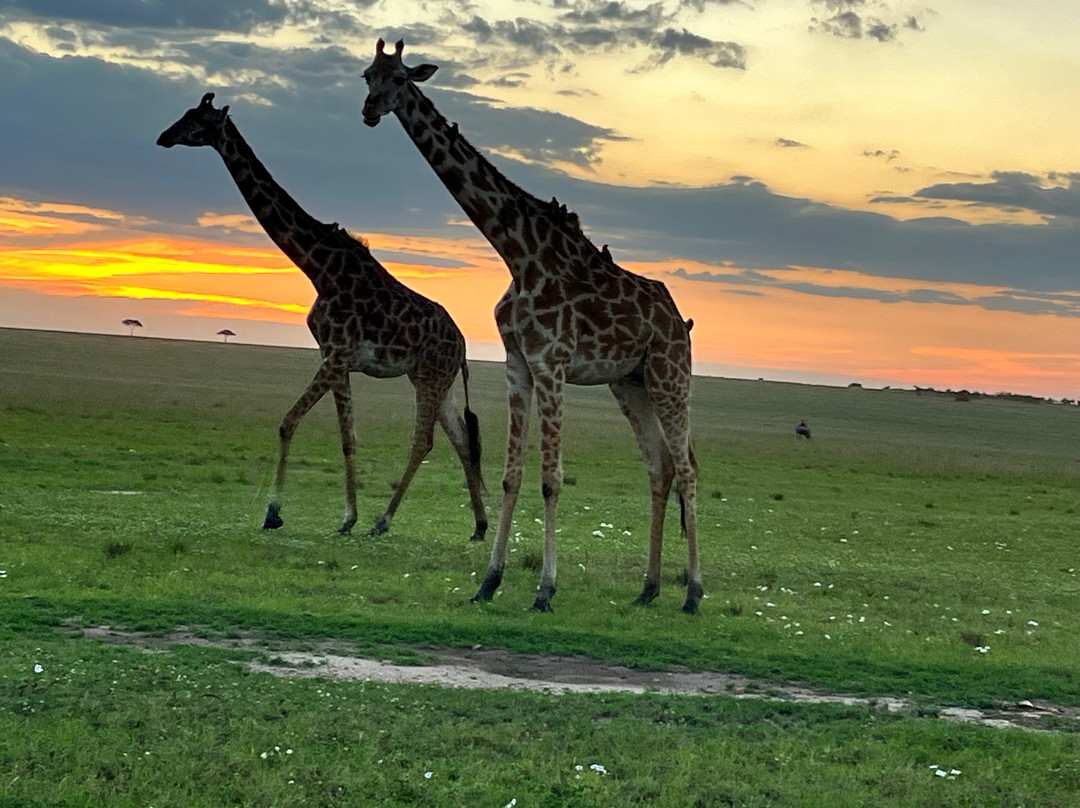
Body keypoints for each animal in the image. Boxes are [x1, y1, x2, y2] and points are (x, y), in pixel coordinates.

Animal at [157, 92, 487, 540]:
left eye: (198, 119)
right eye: (186, 114)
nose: (163, 137)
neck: (318, 267)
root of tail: (464, 345)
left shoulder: (335, 354)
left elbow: (288, 422)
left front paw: (273, 513)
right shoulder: (337, 358)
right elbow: (349, 438)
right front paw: (346, 518)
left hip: (432, 377)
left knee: (425, 442)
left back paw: (384, 521)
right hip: (434, 378)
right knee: (461, 438)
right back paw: (479, 526)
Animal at [360, 40, 702, 613]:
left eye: (401, 78)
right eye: (367, 75)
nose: (368, 111)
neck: (518, 253)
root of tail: (683, 322)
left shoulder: (552, 363)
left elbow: (551, 479)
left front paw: (545, 589)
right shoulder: (517, 363)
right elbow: (510, 475)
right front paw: (489, 581)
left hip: (669, 374)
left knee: (688, 467)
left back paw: (694, 593)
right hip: (629, 382)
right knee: (661, 466)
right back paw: (648, 588)